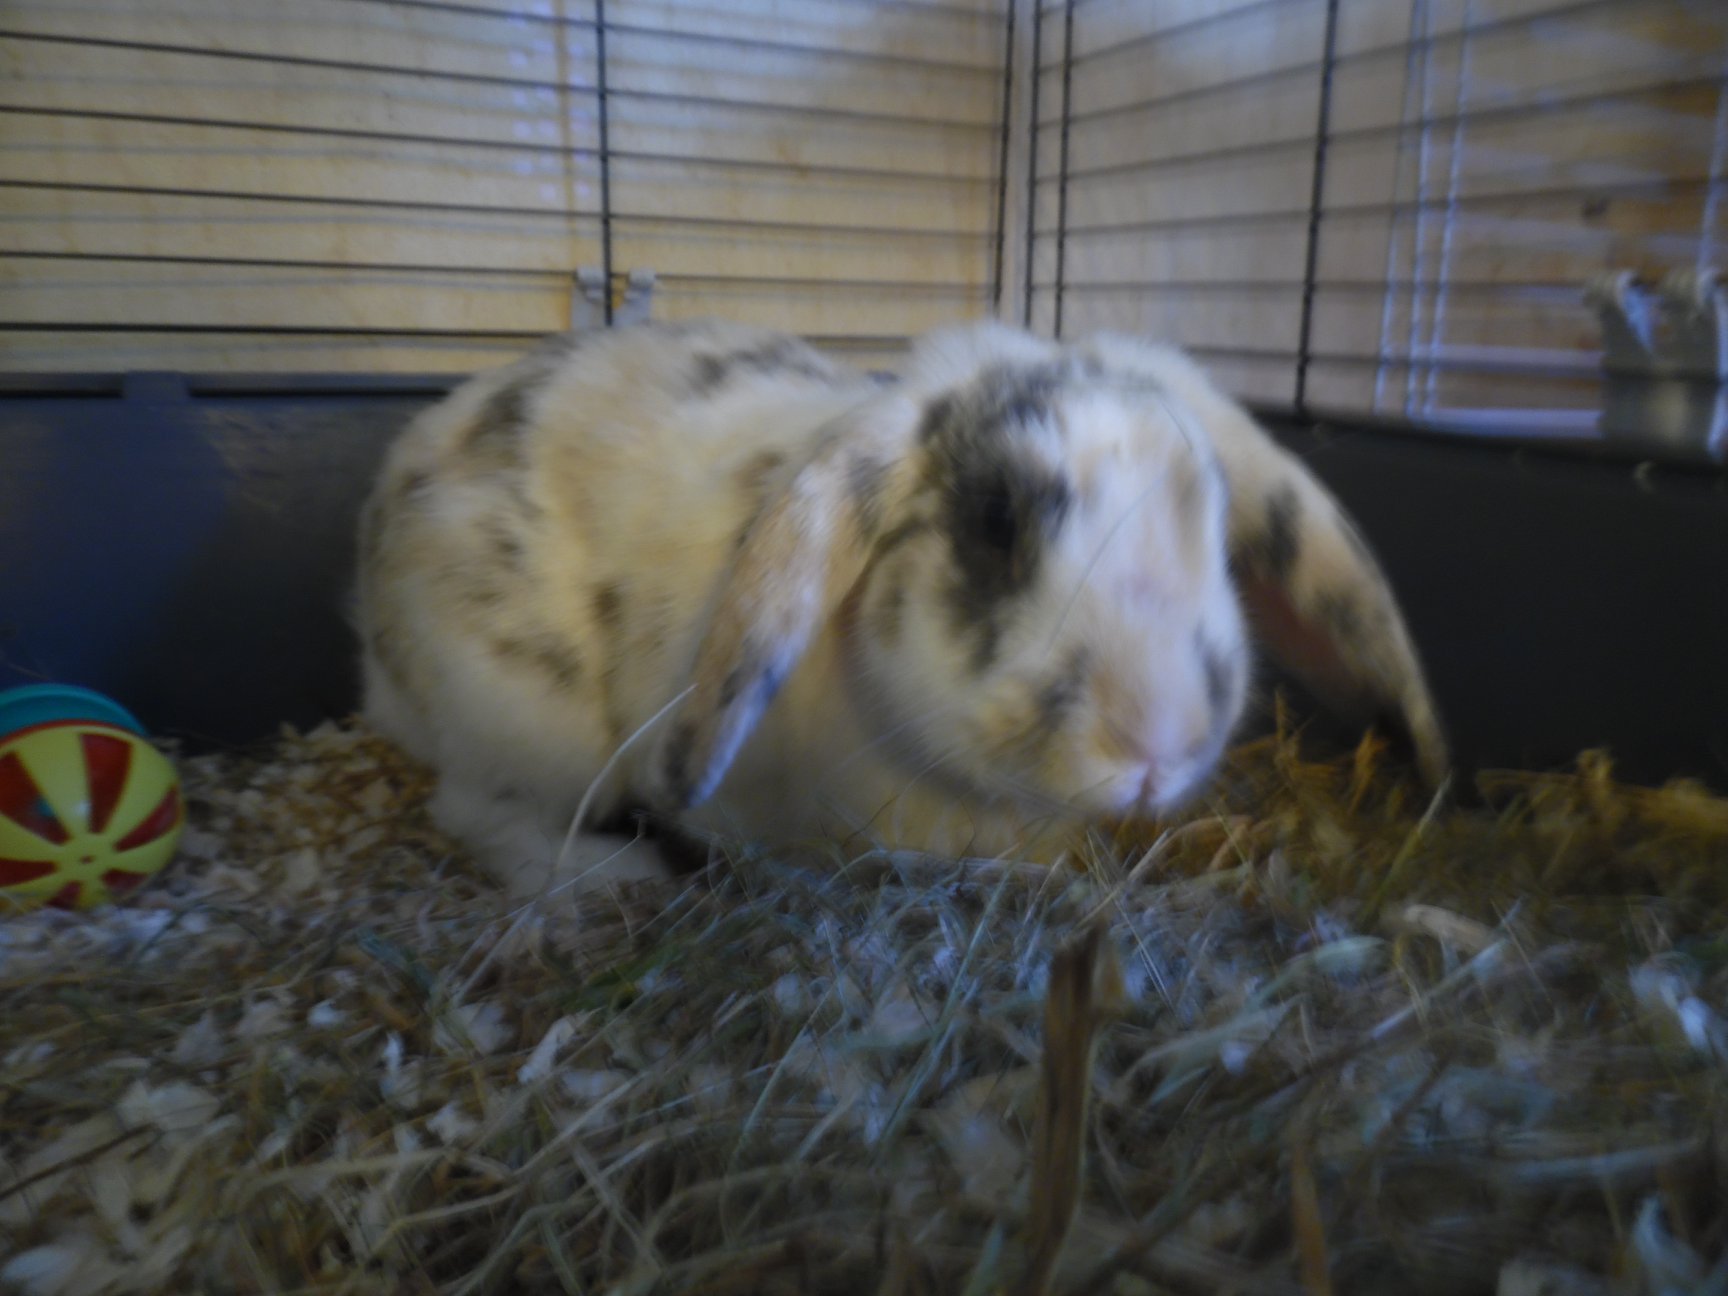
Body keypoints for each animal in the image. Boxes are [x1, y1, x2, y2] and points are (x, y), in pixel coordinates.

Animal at [354, 317, 1448, 900]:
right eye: (997, 521)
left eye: (1217, 531)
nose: (1154, 747)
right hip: (523, 721)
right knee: (475, 811)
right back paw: (604, 874)